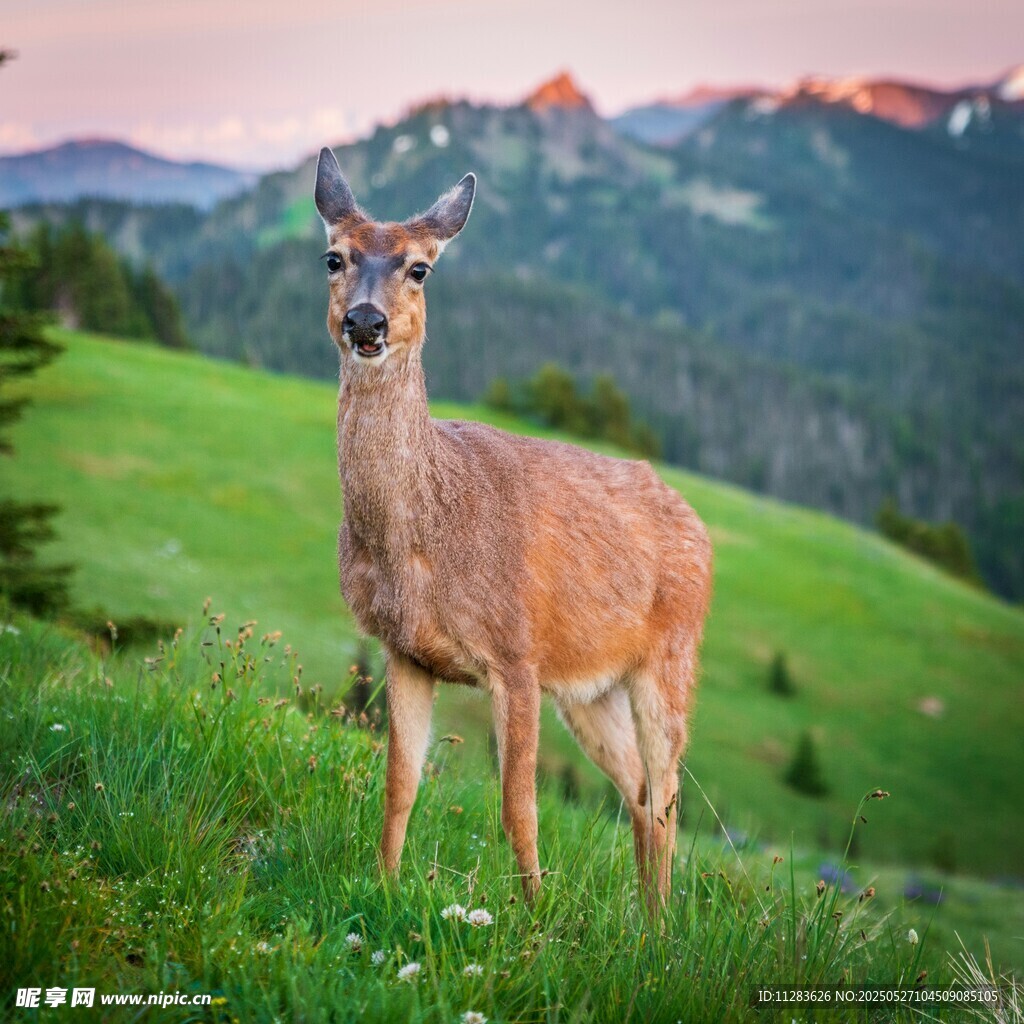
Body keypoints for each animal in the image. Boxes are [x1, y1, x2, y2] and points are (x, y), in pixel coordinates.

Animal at [314, 146, 712, 905]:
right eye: (333, 257)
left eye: (420, 267)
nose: (366, 323)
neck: (422, 537)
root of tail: (699, 527)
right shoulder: (405, 651)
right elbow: (400, 785)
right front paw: (382, 888)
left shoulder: (517, 654)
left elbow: (517, 807)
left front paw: (533, 915)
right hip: (590, 688)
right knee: (640, 790)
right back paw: (645, 920)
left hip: (671, 655)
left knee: (668, 793)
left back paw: (663, 918)